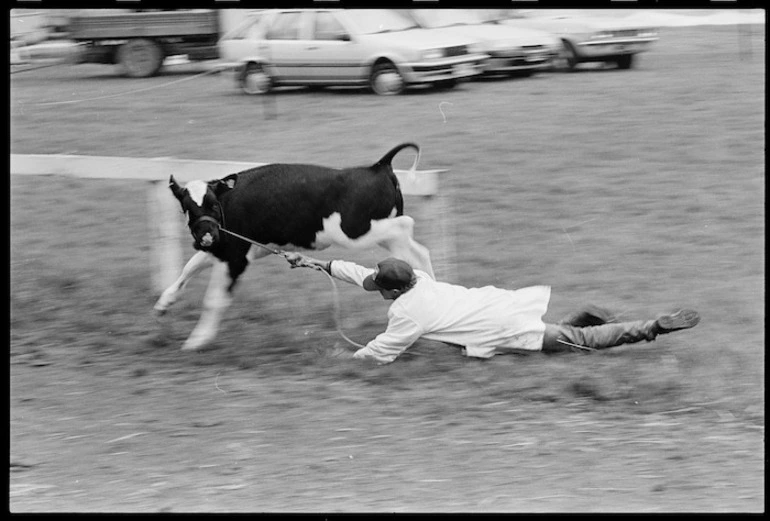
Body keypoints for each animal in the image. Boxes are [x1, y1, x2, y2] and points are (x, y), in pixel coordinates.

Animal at [153, 143, 436, 350]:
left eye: (212, 204)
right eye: (187, 208)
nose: (206, 236)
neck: (229, 203)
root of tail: (376, 167)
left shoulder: (235, 256)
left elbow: (213, 299)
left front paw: (196, 341)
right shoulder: (228, 251)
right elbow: (187, 270)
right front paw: (163, 304)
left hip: (356, 232)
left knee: (407, 228)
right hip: (377, 233)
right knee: (415, 251)